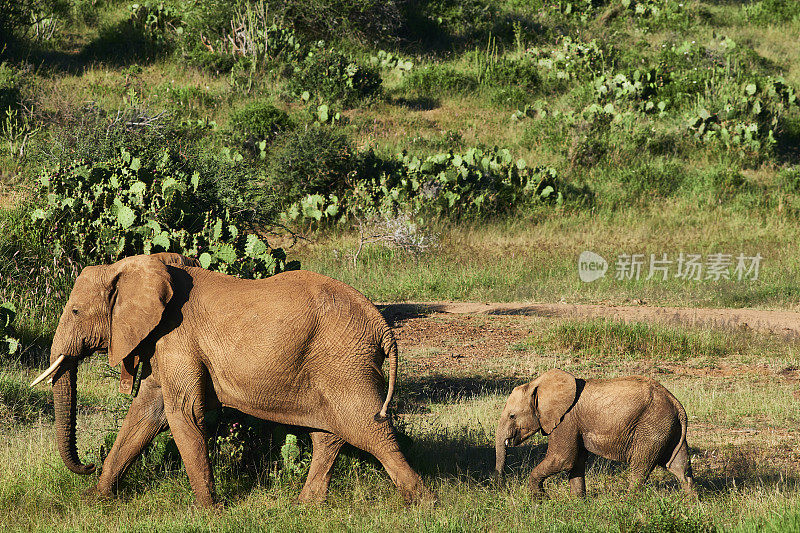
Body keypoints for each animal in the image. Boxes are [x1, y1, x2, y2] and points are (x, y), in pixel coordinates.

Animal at [32, 254, 428, 508]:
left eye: (75, 311)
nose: (87, 465)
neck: (135, 267)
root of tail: (381, 326)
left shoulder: (178, 338)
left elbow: (183, 413)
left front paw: (208, 511)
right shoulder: (164, 343)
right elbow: (146, 413)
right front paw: (95, 499)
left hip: (345, 363)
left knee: (368, 428)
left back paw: (423, 504)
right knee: (328, 435)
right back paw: (306, 507)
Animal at [494, 368, 692, 496]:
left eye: (512, 416)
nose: (500, 487)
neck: (538, 384)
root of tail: (677, 404)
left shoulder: (566, 420)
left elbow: (562, 459)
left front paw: (540, 500)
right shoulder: (575, 424)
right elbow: (576, 462)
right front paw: (578, 503)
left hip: (651, 427)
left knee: (640, 468)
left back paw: (626, 503)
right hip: (667, 428)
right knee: (680, 468)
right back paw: (690, 506)